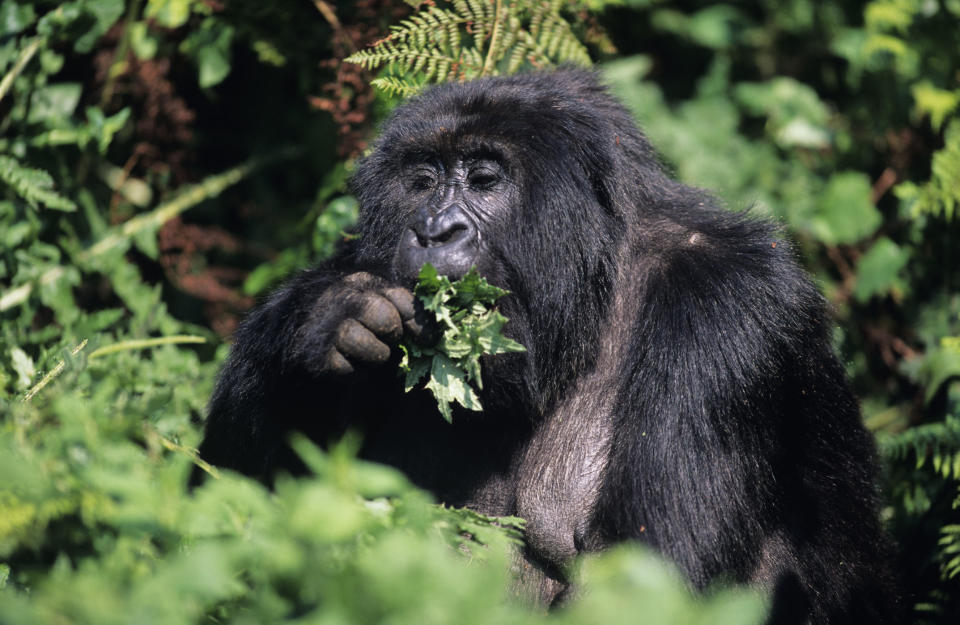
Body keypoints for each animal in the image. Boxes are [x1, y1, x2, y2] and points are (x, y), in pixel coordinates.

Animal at [201, 69, 900, 624]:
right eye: (422, 181)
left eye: (486, 180)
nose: (434, 231)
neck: (595, 285)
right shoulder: (362, 253)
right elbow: (226, 503)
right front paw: (326, 323)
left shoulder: (726, 308)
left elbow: (648, 582)